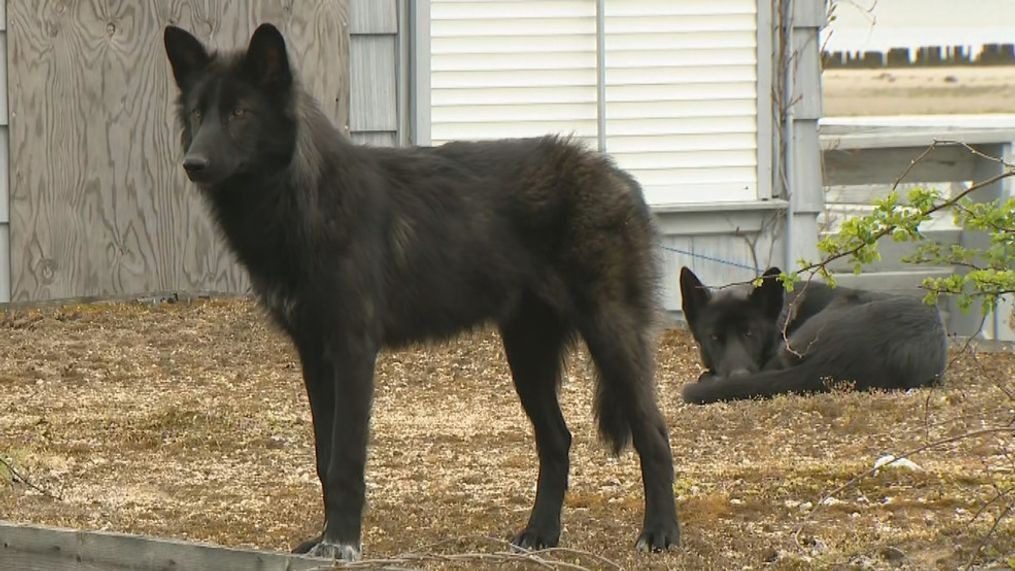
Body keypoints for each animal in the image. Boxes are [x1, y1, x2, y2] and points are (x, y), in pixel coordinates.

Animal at [163, 23, 679, 561]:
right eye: (198, 113)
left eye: (239, 113)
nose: (192, 163)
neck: (303, 199)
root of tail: (622, 180)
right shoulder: (314, 356)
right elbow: (325, 457)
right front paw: (324, 539)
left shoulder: (353, 352)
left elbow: (346, 459)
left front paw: (342, 542)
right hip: (527, 356)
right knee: (557, 440)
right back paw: (541, 533)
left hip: (610, 338)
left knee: (654, 434)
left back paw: (660, 533)